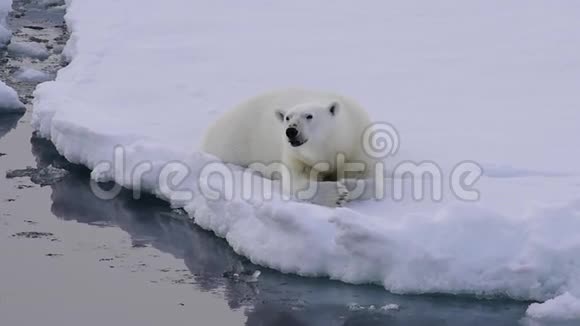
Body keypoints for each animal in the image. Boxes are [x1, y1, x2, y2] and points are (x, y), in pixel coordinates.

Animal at [202, 88, 378, 206]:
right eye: (288, 117)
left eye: (309, 116)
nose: (291, 131)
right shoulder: (296, 156)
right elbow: (296, 181)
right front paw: (337, 194)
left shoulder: (358, 143)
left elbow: (371, 176)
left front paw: (348, 184)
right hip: (230, 142)